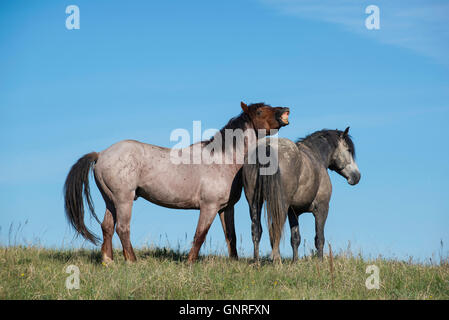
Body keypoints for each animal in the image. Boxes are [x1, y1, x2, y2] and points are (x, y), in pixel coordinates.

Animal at [64, 102, 290, 262]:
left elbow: (231, 236)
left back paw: (108, 261)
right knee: (122, 228)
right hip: (123, 200)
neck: (222, 158)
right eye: (259, 111)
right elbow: (200, 235)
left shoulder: (226, 208)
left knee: (107, 227)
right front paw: (190, 263)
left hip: (110, 200)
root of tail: (101, 154)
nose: (285, 111)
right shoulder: (208, 207)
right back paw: (132, 261)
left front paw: (233, 262)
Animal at [242, 126, 360, 262]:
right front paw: (320, 262)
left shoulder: (293, 212)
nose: (357, 176)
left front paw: (295, 262)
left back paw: (256, 261)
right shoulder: (322, 208)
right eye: (349, 150)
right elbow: (319, 238)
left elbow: (295, 238)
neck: (316, 156)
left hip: (254, 202)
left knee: (256, 229)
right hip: (280, 205)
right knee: (275, 228)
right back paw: (276, 259)